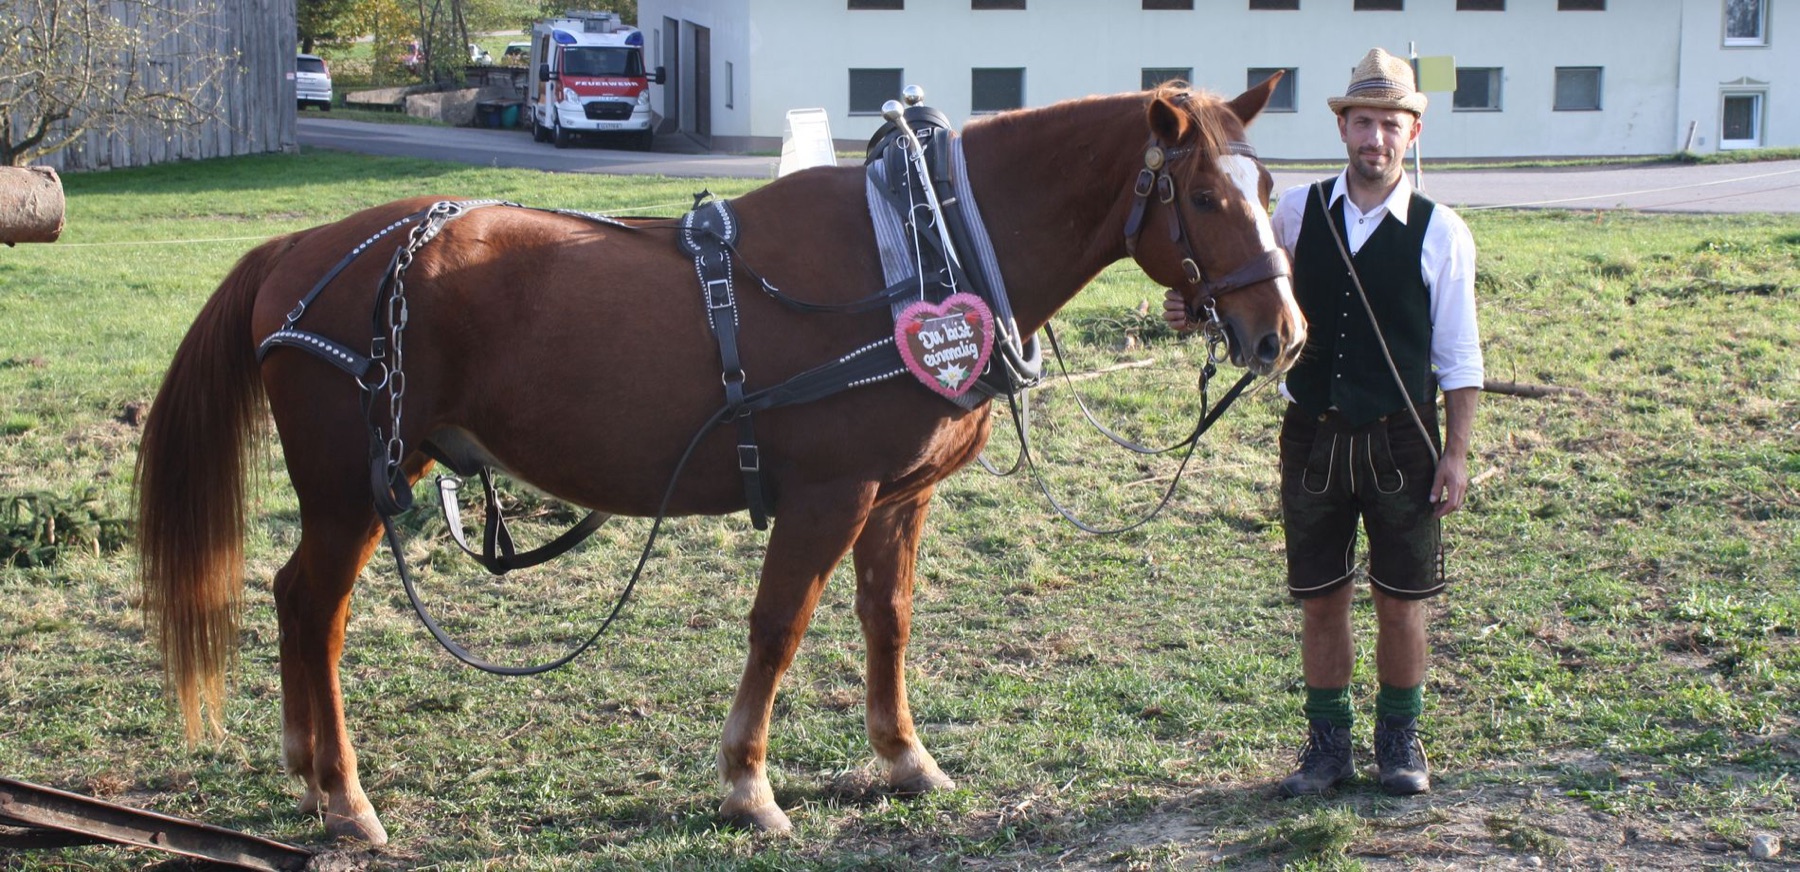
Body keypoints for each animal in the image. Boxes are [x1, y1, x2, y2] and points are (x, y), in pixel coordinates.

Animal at [134, 79, 1304, 844]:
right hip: (351, 489)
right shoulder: (829, 494)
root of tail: (300, 250)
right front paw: (748, 783)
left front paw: (902, 756)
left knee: (296, 601)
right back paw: (344, 795)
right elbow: (779, 625)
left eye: (1270, 187)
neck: (916, 251)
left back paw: (307, 772)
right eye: (1205, 197)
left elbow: (887, 622)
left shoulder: (898, 499)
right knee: (312, 606)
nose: (1279, 336)